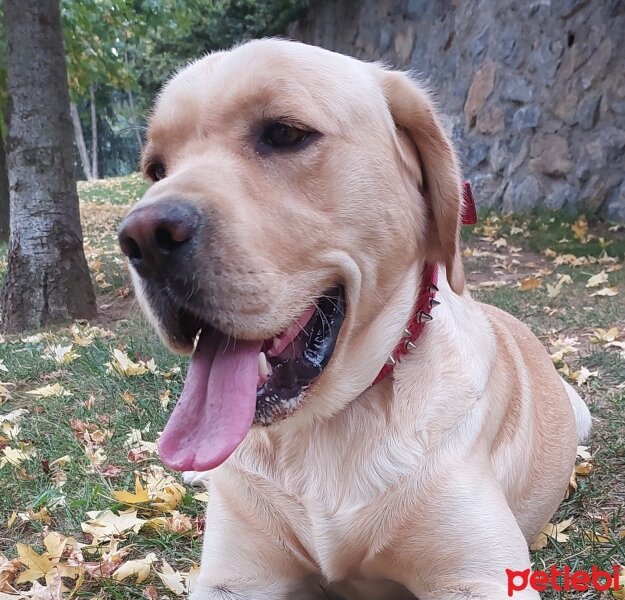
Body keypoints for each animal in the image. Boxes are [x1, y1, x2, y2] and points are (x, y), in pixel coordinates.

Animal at [118, 39, 588, 596]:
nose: (142, 240)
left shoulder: (479, 576)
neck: (323, 428)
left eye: (285, 134)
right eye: (156, 169)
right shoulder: (234, 578)